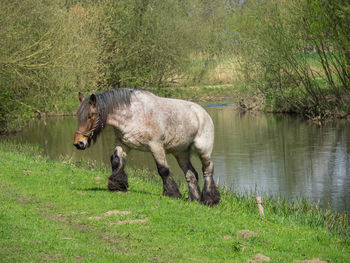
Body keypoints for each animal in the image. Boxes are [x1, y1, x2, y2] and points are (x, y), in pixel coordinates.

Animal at [73, 88, 220, 206]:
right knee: (191, 174)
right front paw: (117, 185)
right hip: (181, 153)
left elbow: (163, 169)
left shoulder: (156, 146)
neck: (133, 114)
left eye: (90, 116)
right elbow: (116, 161)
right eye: (78, 115)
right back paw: (194, 199)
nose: (78, 143)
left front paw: (172, 193)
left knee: (208, 170)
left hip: (203, 151)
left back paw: (210, 199)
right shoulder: (123, 144)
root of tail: (203, 113)